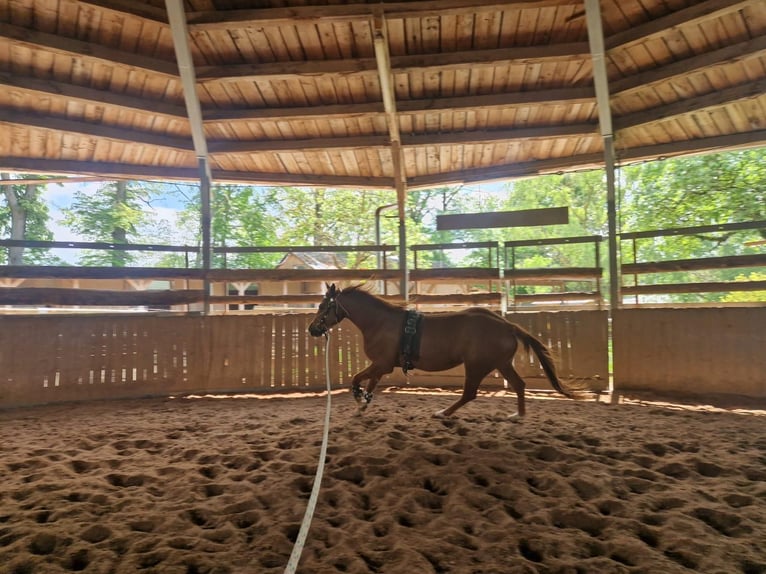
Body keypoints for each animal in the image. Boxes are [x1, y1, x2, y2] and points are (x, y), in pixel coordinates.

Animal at [308, 283, 575, 418]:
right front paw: (362, 405)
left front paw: (357, 399)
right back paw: (517, 416)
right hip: (501, 363)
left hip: (476, 366)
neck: (380, 321)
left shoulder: (381, 364)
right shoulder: (382, 367)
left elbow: (357, 379)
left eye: (323, 306)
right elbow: (370, 386)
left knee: (470, 394)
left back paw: (443, 413)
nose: (312, 329)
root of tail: (507, 325)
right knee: (518, 385)